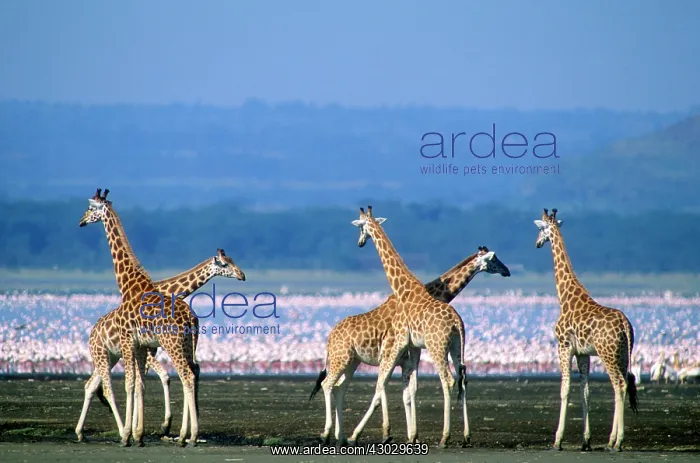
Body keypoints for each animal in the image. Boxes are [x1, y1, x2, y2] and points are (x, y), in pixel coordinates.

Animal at [75, 248, 245, 442]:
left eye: (232, 260)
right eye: (225, 263)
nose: (242, 275)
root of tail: (92, 332)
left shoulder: (151, 349)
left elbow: (145, 382)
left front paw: (143, 428)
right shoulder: (148, 349)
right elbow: (159, 377)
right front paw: (160, 425)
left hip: (112, 357)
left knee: (92, 385)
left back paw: (82, 432)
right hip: (106, 354)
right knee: (103, 387)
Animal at [78, 188, 200, 447]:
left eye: (91, 208)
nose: (81, 221)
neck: (129, 285)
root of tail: (191, 320)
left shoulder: (127, 341)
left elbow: (129, 384)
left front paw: (127, 435)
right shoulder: (141, 345)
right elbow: (141, 384)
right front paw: (138, 434)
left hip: (172, 344)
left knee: (186, 376)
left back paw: (191, 436)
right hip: (187, 345)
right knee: (193, 374)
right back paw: (185, 435)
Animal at [310, 246, 511, 446]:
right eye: (494, 259)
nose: (507, 271)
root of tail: (330, 337)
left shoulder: (405, 360)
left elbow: (406, 393)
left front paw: (409, 435)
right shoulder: (391, 356)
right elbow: (386, 390)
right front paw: (388, 433)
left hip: (352, 361)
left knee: (339, 387)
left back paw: (340, 436)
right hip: (342, 358)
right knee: (329, 384)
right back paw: (330, 434)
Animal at [342, 205, 470, 448]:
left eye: (360, 227)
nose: (360, 243)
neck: (404, 289)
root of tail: (457, 322)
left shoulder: (400, 341)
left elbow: (386, 385)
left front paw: (360, 434)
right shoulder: (411, 347)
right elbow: (408, 388)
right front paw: (411, 435)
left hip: (437, 346)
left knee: (447, 380)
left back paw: (445, 437)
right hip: (457, 347)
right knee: (462, 379)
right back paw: (467, 436)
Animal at [534, 208, 639, 452]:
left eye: (541, 229)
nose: (537, 243)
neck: (564, 298)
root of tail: (626, 325)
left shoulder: (563, 346)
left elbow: (565, 390)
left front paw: (557, 440)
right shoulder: (583, 353)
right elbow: (586, 392)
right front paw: (586, 440)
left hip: (608, 354)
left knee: (619, 385)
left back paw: (618, 442)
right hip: (622, 354)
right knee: (622, 385)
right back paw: (611, 440)